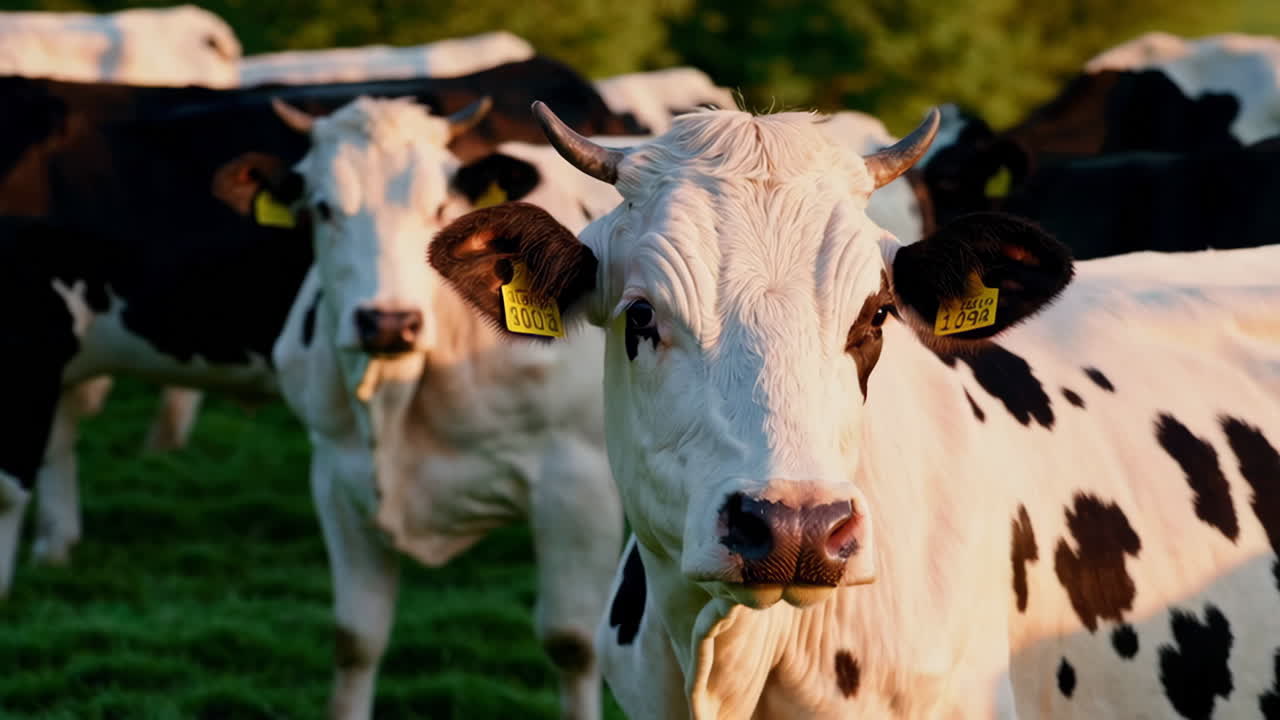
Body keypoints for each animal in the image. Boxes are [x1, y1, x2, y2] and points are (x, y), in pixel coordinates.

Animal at [0, 59, 634, 592]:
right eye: (321, 208)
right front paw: (55, 551)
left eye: (440, 209)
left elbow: (10, 491)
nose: (388, 323)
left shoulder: (31, 343)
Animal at [264, 96, 624, 720]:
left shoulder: (580, 484)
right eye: (322, 209)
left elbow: (573, 643)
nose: (388, 322)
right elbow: (355, 640)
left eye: (438, 207)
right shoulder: (335, 480)